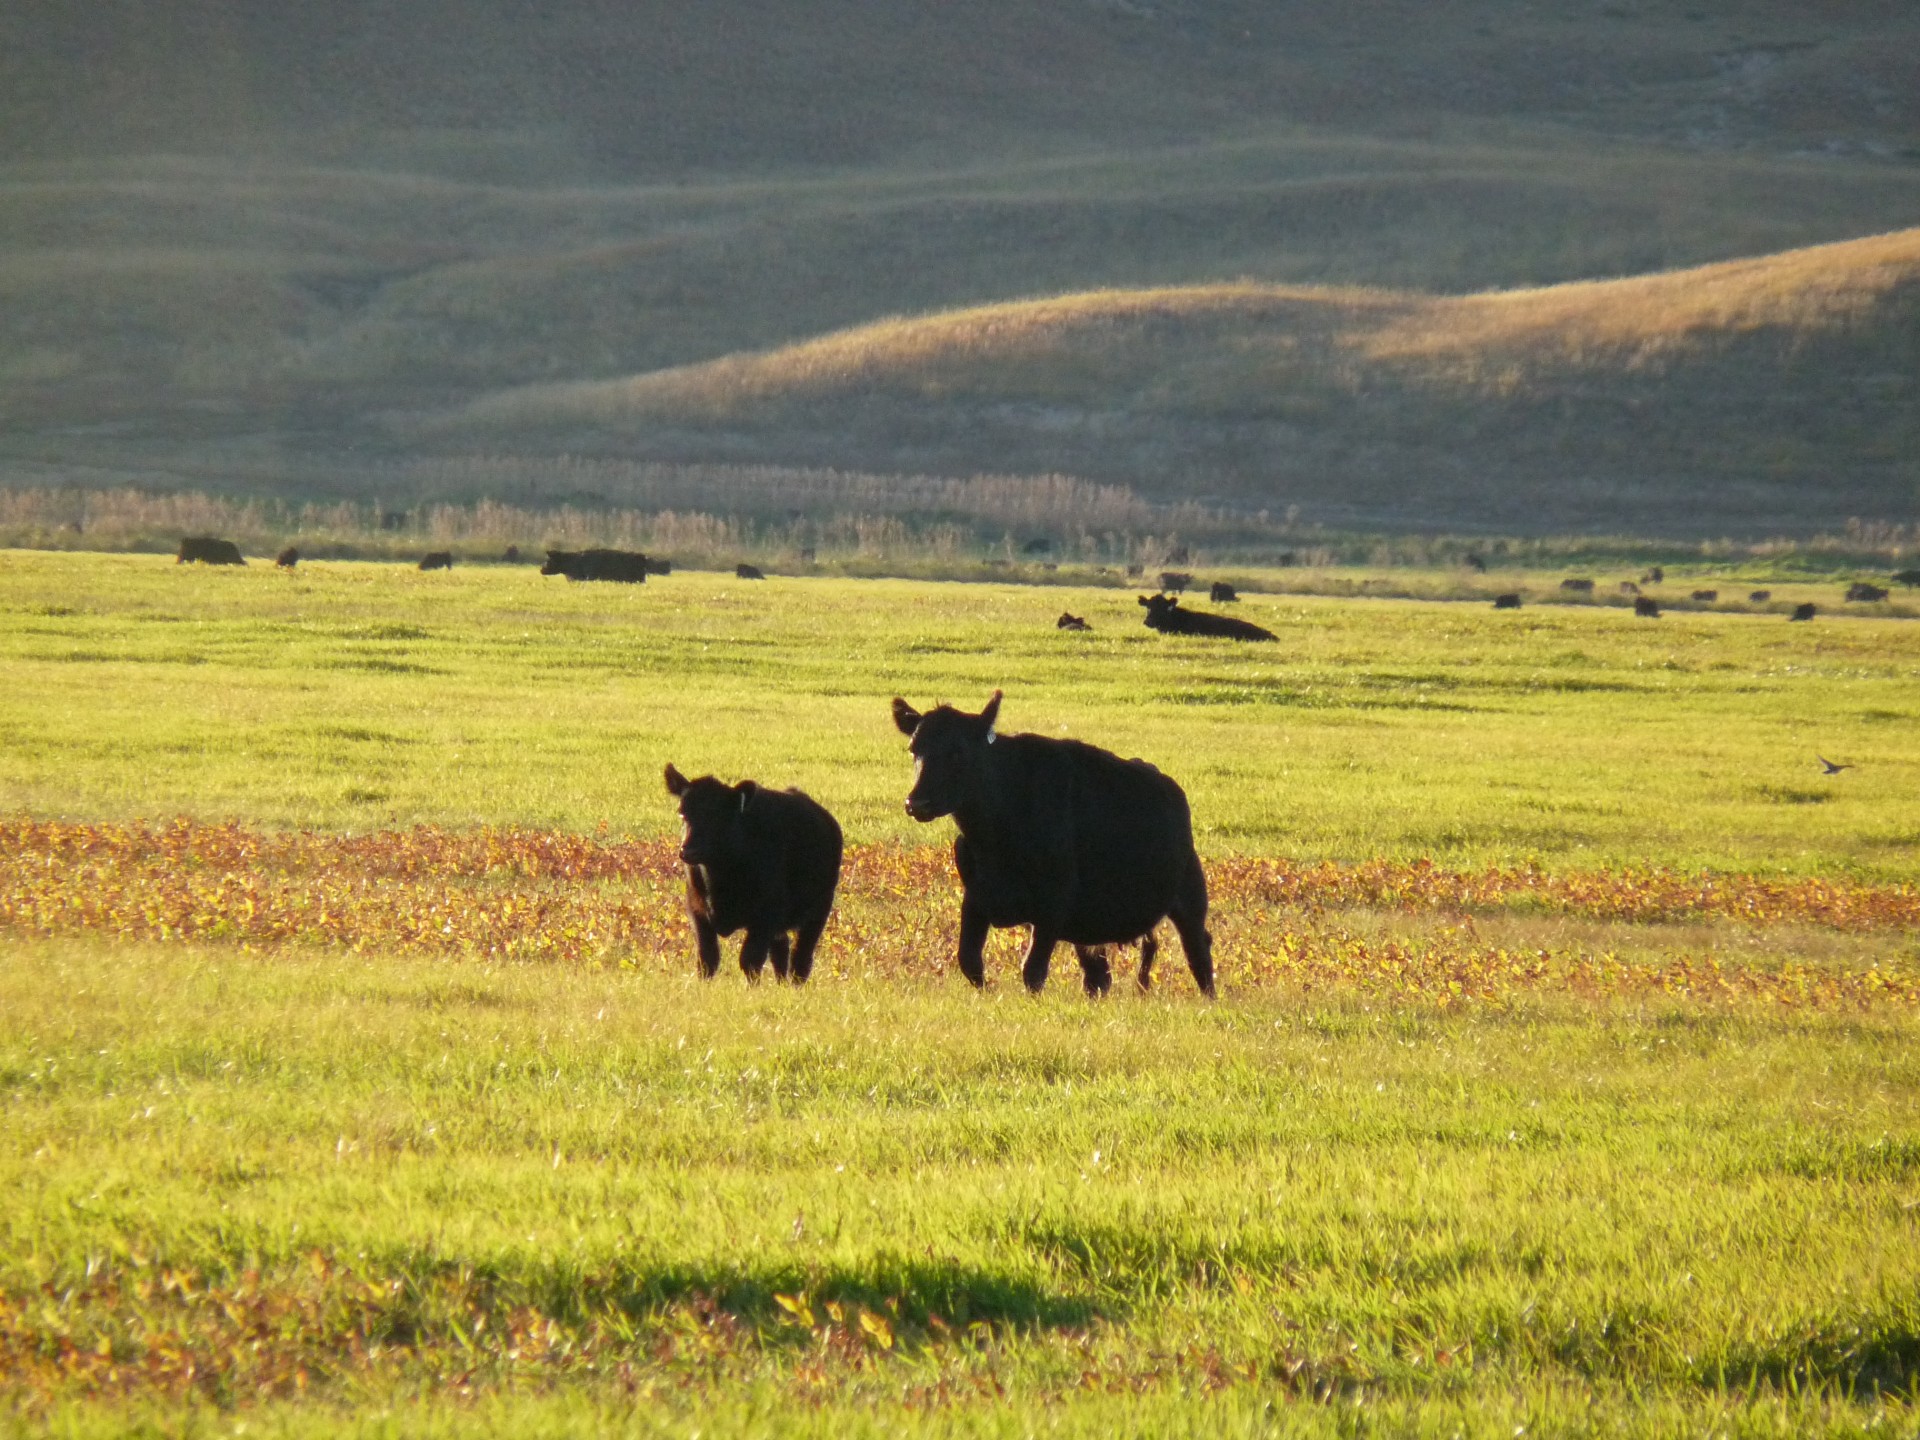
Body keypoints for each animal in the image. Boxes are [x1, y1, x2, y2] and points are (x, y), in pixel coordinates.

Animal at [887, 695, 1213, 998]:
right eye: (914, 749)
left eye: (958, 751)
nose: (916, 802)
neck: (994, 840)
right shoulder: (977, 897)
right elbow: (969, 961)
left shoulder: (1053, 904)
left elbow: (1032, 970)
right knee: (1098, 977)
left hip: (1189, 896)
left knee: (1198, 951)